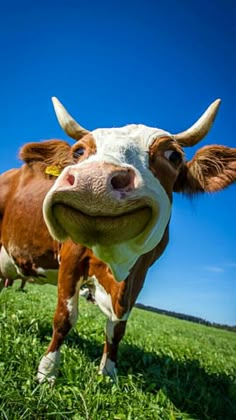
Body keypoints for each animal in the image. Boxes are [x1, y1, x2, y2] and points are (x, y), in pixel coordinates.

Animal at [0, 97, 235, 384]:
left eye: (174, 156)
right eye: (78, 152)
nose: (94, 180)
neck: (115, 261)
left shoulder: (139, 274)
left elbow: (117, 327)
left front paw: (108, 373)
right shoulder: (71, 258)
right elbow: (65, 317)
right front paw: (47, 372)